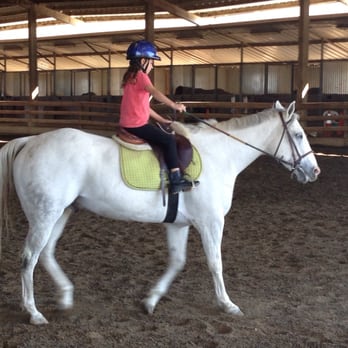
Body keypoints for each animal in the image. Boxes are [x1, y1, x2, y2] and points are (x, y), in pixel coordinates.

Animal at [0, 100, 320, 324]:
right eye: (298, 135)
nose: (314, 171)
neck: (220, 155)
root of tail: (30, 141)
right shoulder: (211, 222)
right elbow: (215, 264)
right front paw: (227, 304)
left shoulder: (178, 225)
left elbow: (177, 262)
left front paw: (150, 301)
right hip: (45, 215)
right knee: (28, 258)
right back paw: (34, 312)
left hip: (61, 213)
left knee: (46, 254)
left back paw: (65, 298)